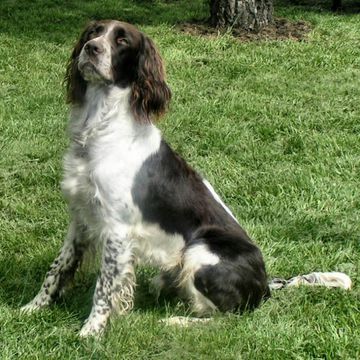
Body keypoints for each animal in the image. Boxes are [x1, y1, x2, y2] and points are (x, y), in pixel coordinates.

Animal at [21, 19, 270, 334]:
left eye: (123, 41)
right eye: (93, 32)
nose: (91, 49)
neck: (98, 130)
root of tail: (267, 287)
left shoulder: (117, 229)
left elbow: (104, 287)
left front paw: (91, 331)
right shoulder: (80, 218)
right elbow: (58, 267)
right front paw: (33, 308)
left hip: (199, 250)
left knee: (227, 318)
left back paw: (175, 321)